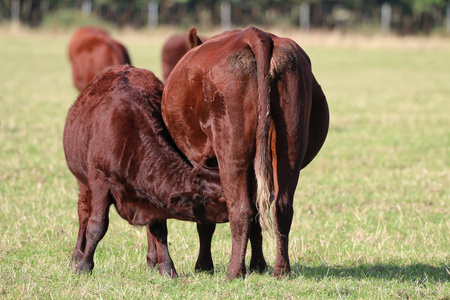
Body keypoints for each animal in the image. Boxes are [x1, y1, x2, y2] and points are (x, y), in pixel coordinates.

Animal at [62, 64, 229, 278]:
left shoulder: (155, 197)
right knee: (83, 214)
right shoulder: (100, 181)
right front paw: (83, 266)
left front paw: (166, 267)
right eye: (222, 195)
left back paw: (152, 260)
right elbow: (96, 225)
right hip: (82, 181)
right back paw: (76, 257)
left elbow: (159, 229)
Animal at [160, 27, 328, 280]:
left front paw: (204, 265)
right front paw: (258, 264)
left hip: (232, 151)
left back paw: (234, 271)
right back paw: (280, 270)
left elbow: (206, 219)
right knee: (281, 206)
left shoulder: (202, 160)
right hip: (290, 143)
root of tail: (256, 35)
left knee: (241, 209)